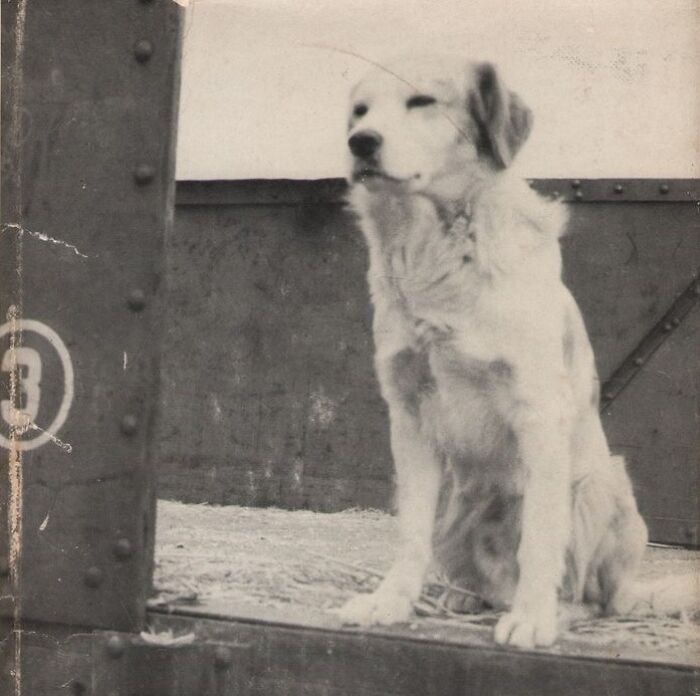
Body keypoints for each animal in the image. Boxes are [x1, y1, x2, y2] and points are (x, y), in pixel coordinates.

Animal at [336, 53, 696, 648]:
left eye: (421, 101)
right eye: (360, 111)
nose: (360, 142)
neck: (437, 253)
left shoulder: (538, 412)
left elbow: (541, 539)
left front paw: (532, 618)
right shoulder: (409, 414)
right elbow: (410, 532)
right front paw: (390, 602)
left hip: (599, 485)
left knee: (596, 598)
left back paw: (557, 611)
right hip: (458, 503)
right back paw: (463, 596)